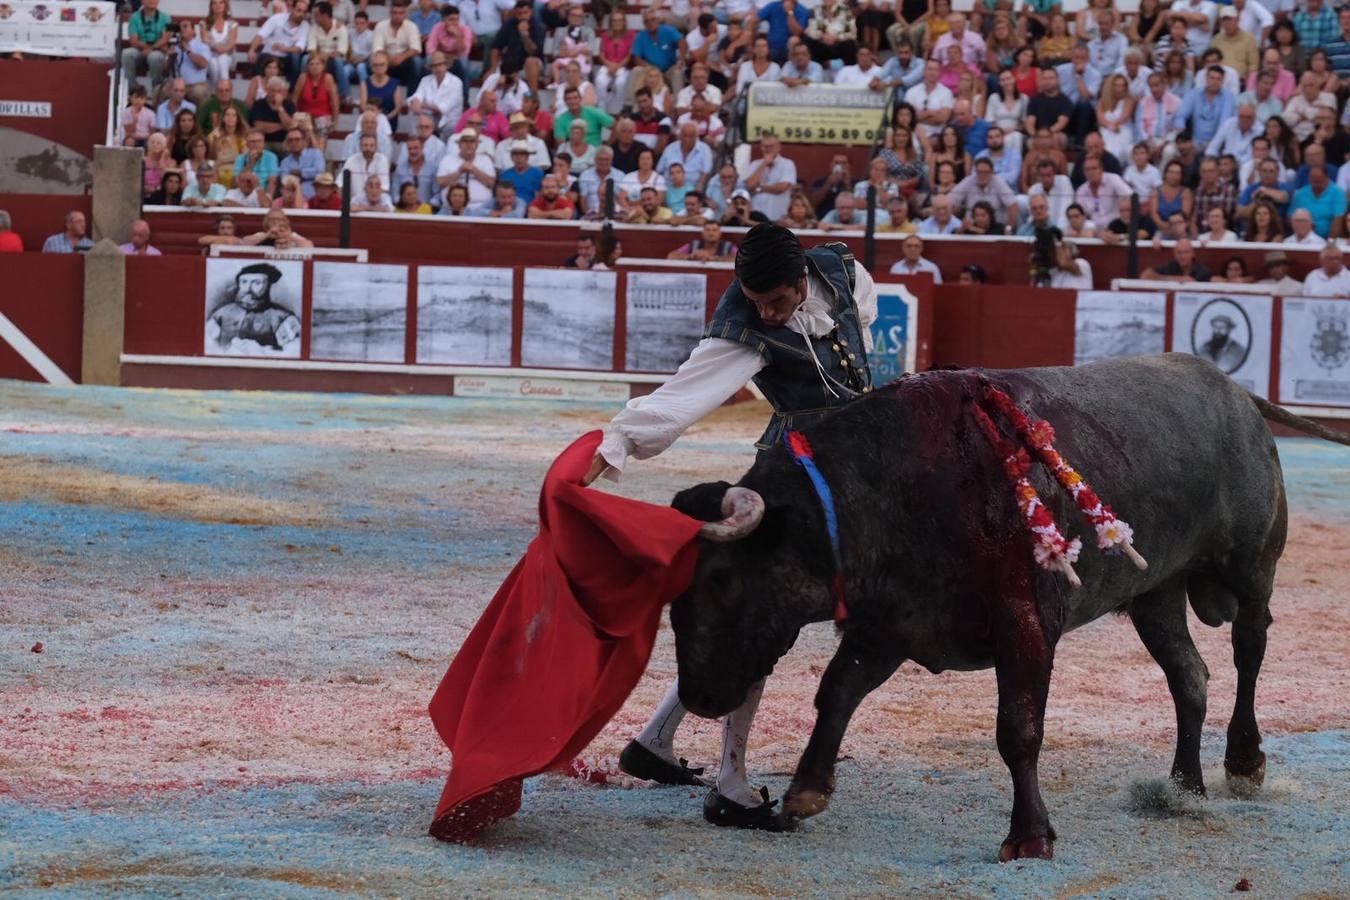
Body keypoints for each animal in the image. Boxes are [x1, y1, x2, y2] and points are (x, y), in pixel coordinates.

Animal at [666, 350, 1350, 858]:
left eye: (721, 579)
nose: (698, 695)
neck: (891, 486)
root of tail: (1237, 394)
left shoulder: (1026, 625)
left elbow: (1018, 730)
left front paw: (1029, 838)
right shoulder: (888, 626)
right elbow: (835, 694)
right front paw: (805, 792)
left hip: (1251, 567)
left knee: (1249, 649)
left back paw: (1244, 760)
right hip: (1156, 593)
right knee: (1190, 675)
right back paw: (1185, 786)